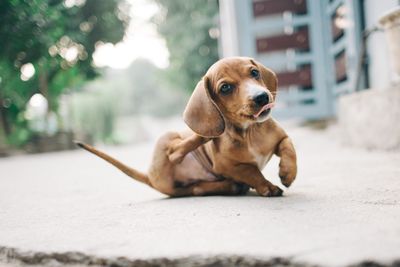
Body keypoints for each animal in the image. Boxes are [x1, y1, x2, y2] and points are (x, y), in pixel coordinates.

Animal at [77, 57, 296, 199]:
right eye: (225, 88)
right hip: (167, 139)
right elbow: (252, 172)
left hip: (184, 187)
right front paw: (266, 186)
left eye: (254, 72)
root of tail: (150, 176)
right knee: (176, 152)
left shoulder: (281, 137)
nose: (262, 97)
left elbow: (289, 148)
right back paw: (206, 141)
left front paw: (288, 173)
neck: (249, 132)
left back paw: (231, 185)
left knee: (198, 188)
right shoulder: (227, 166)